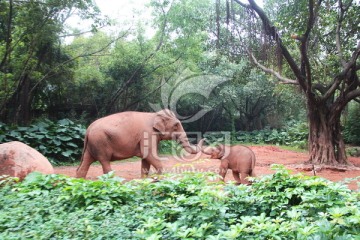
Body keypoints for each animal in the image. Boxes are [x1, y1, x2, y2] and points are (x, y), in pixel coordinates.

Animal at [76, 109, 204, 178]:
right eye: (176, 125)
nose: (204, 139)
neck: (154, 115)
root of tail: (88, 129)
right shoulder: (148, 134)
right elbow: (149, 154)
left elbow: (146, 160)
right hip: (100, 142)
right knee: (105, 163)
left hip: (91, 146)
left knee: (84, 164)